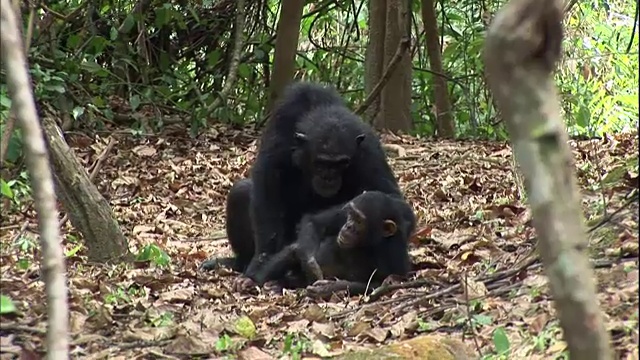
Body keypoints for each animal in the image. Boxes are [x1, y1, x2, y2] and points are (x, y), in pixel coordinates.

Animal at [200, 81, 402, 290]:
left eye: (341, 163)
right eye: (321, 163)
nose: (328, 177)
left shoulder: (369, 149)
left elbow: (386, 195)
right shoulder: (279, 127)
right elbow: (267, 188)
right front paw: (260, 262)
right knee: (240, 193)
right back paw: (240, 263)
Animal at [252, 190, 418, 296]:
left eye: (359, 220)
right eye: (351, 214)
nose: (348, 226)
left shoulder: (394, 257)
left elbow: (377, 284)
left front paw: (326, 288)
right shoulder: (341, 212)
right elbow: (316, 222)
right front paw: (310, 265)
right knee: (294, 250)